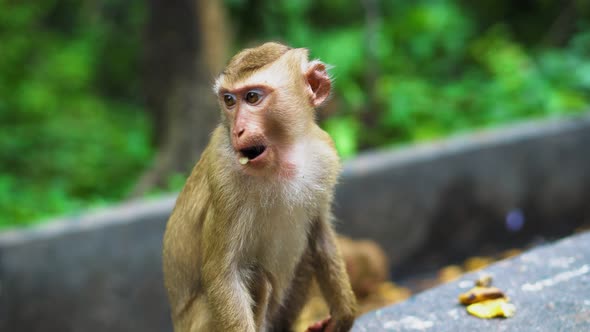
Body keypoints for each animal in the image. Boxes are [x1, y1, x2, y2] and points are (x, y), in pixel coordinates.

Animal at [162, 42, 356, 332]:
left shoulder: (325, 155)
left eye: (252, 97)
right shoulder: (225, 178)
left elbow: (320, 236)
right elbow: (223, 274)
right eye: (229, 100)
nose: (238, 131)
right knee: (257, 278)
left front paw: (344, 314)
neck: (283, 159)